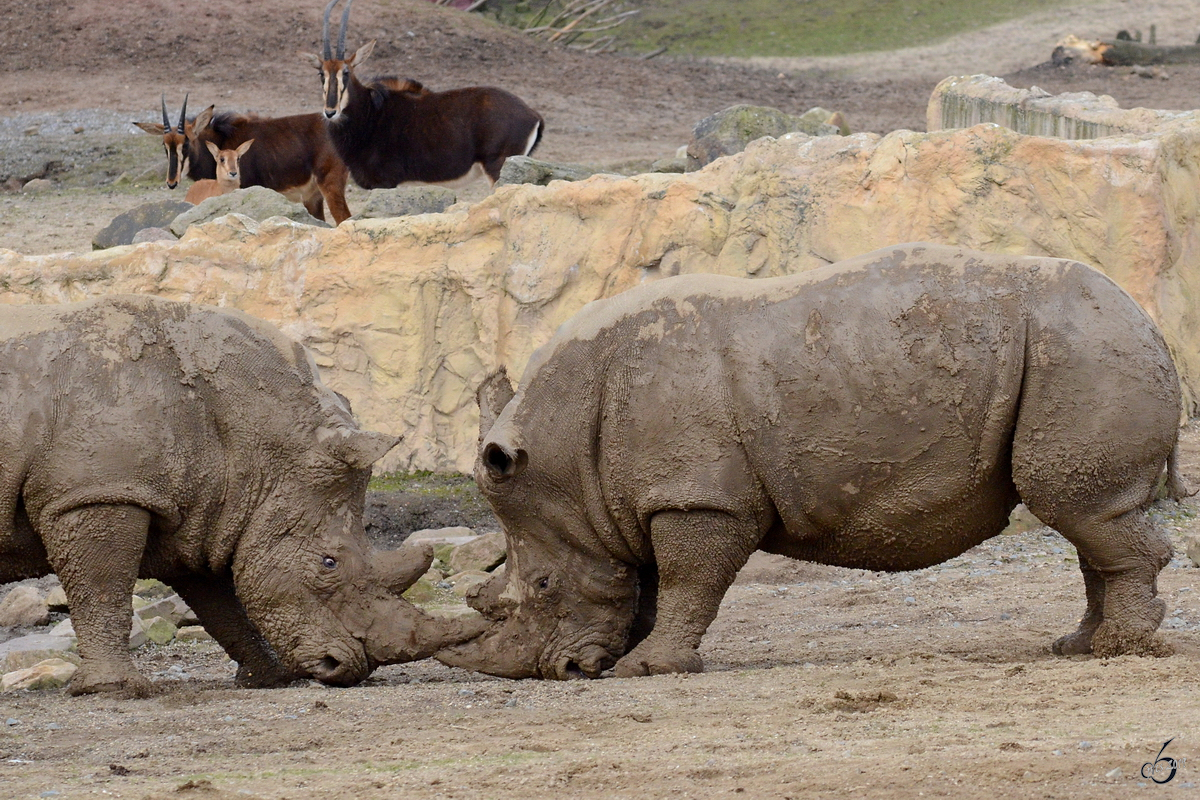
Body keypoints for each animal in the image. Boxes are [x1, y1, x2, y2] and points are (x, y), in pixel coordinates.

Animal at [137, 100, 350, 225]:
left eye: (187, 143)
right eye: (165, 145)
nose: (171, 182)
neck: (221, 139)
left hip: (329, 184)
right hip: (312, 197)